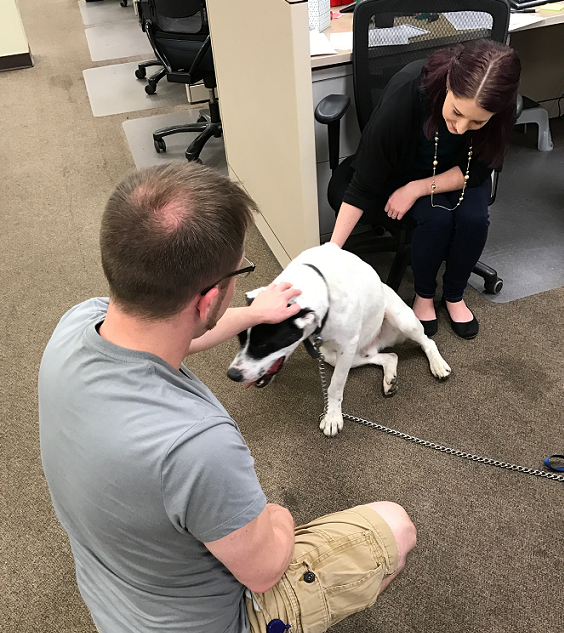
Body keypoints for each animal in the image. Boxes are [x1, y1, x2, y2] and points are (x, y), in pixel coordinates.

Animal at [227, 242, 452, 434]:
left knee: (428, 342)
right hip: (339, 355)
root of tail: (376, 343)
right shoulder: (342, 350)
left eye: (263, 344)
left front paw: (332, 417)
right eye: (240, 340)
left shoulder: (347, 346)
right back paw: (389, 378)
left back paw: (437, 364)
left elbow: (335, 385)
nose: (232, 375)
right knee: (390, 356)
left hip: (400, 321)